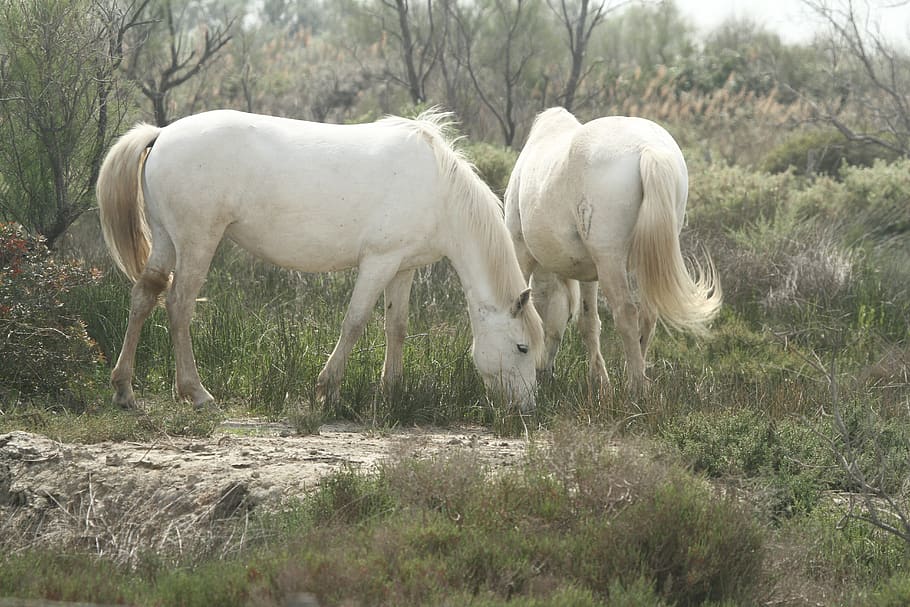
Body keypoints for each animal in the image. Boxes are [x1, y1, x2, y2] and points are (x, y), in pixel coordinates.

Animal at [97, 110, 544, 414]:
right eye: (522, 347)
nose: (526, 409)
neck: (438, 189)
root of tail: (162, 134)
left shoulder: (403, 267)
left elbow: (396, 327)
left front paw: (392, 391)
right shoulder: (378, 262)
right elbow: (355, 322)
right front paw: (328, 389)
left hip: (166, 240)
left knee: (145, 296)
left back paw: (123, 389)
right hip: (197, 241)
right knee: (179, 305)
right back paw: (197, 392)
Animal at [502, 108, 724, 394]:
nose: (542, 370)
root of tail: (649, 149)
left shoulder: (521, 252)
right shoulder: (587, 272)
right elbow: (588, 322)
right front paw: (599, 380)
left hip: (611, 262)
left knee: (627, 314)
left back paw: (636, 386)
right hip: (642, 264)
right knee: (648, 315)